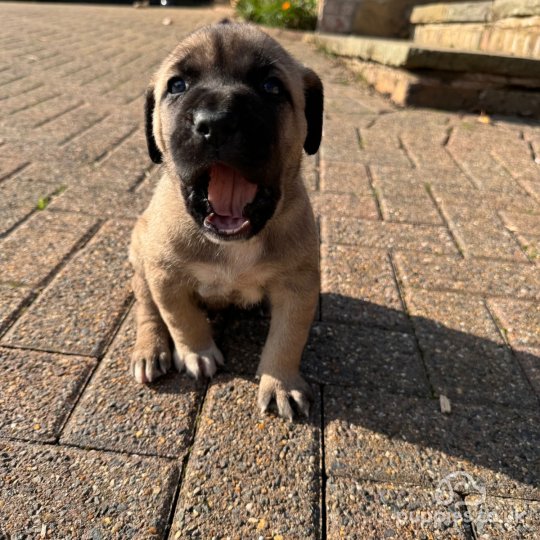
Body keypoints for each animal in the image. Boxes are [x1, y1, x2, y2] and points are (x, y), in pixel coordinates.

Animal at [130, 21, 324, 420]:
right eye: (177, 85)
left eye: (271, 86)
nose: (216, 123)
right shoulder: (165, 276)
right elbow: (180, 318)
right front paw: (197, 353)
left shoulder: (298, 284)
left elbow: (288, 337)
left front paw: (281, 382)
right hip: (141, 260)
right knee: (147, 308)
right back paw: (150, 350)